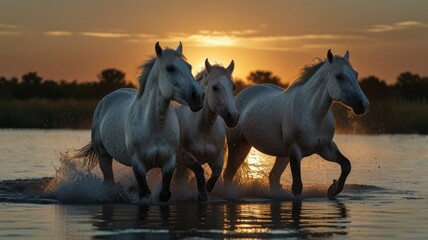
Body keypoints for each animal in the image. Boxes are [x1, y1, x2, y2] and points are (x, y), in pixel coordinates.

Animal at [75, 42, 206, 202]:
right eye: (170, 68)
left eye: (189, 67)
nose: (198, 96)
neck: (156, 127)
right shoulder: (138, 165)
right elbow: (144, 193)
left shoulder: (169, 163)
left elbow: (165, 194)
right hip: (103, 155)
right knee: (109, 181)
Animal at [175, 58, 241, 201]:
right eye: (215, 87)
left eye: (233, 87)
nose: (233, 117)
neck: (204, 130)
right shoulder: (186, 157)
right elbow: (199, 171)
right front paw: (202, 194)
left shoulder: (217, 157)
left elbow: (216, 173)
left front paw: (207, 188)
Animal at [224, 49, 368, 198]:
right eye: (339, 76)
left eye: (356, 74)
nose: (362, 104)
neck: (312, 115)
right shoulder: (295, 151)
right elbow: (297, 187)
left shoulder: (325, 148)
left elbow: (346, 165)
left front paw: (333, 189)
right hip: (237, 144)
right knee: (228, 174)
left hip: (277, 154)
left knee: (273, 177)